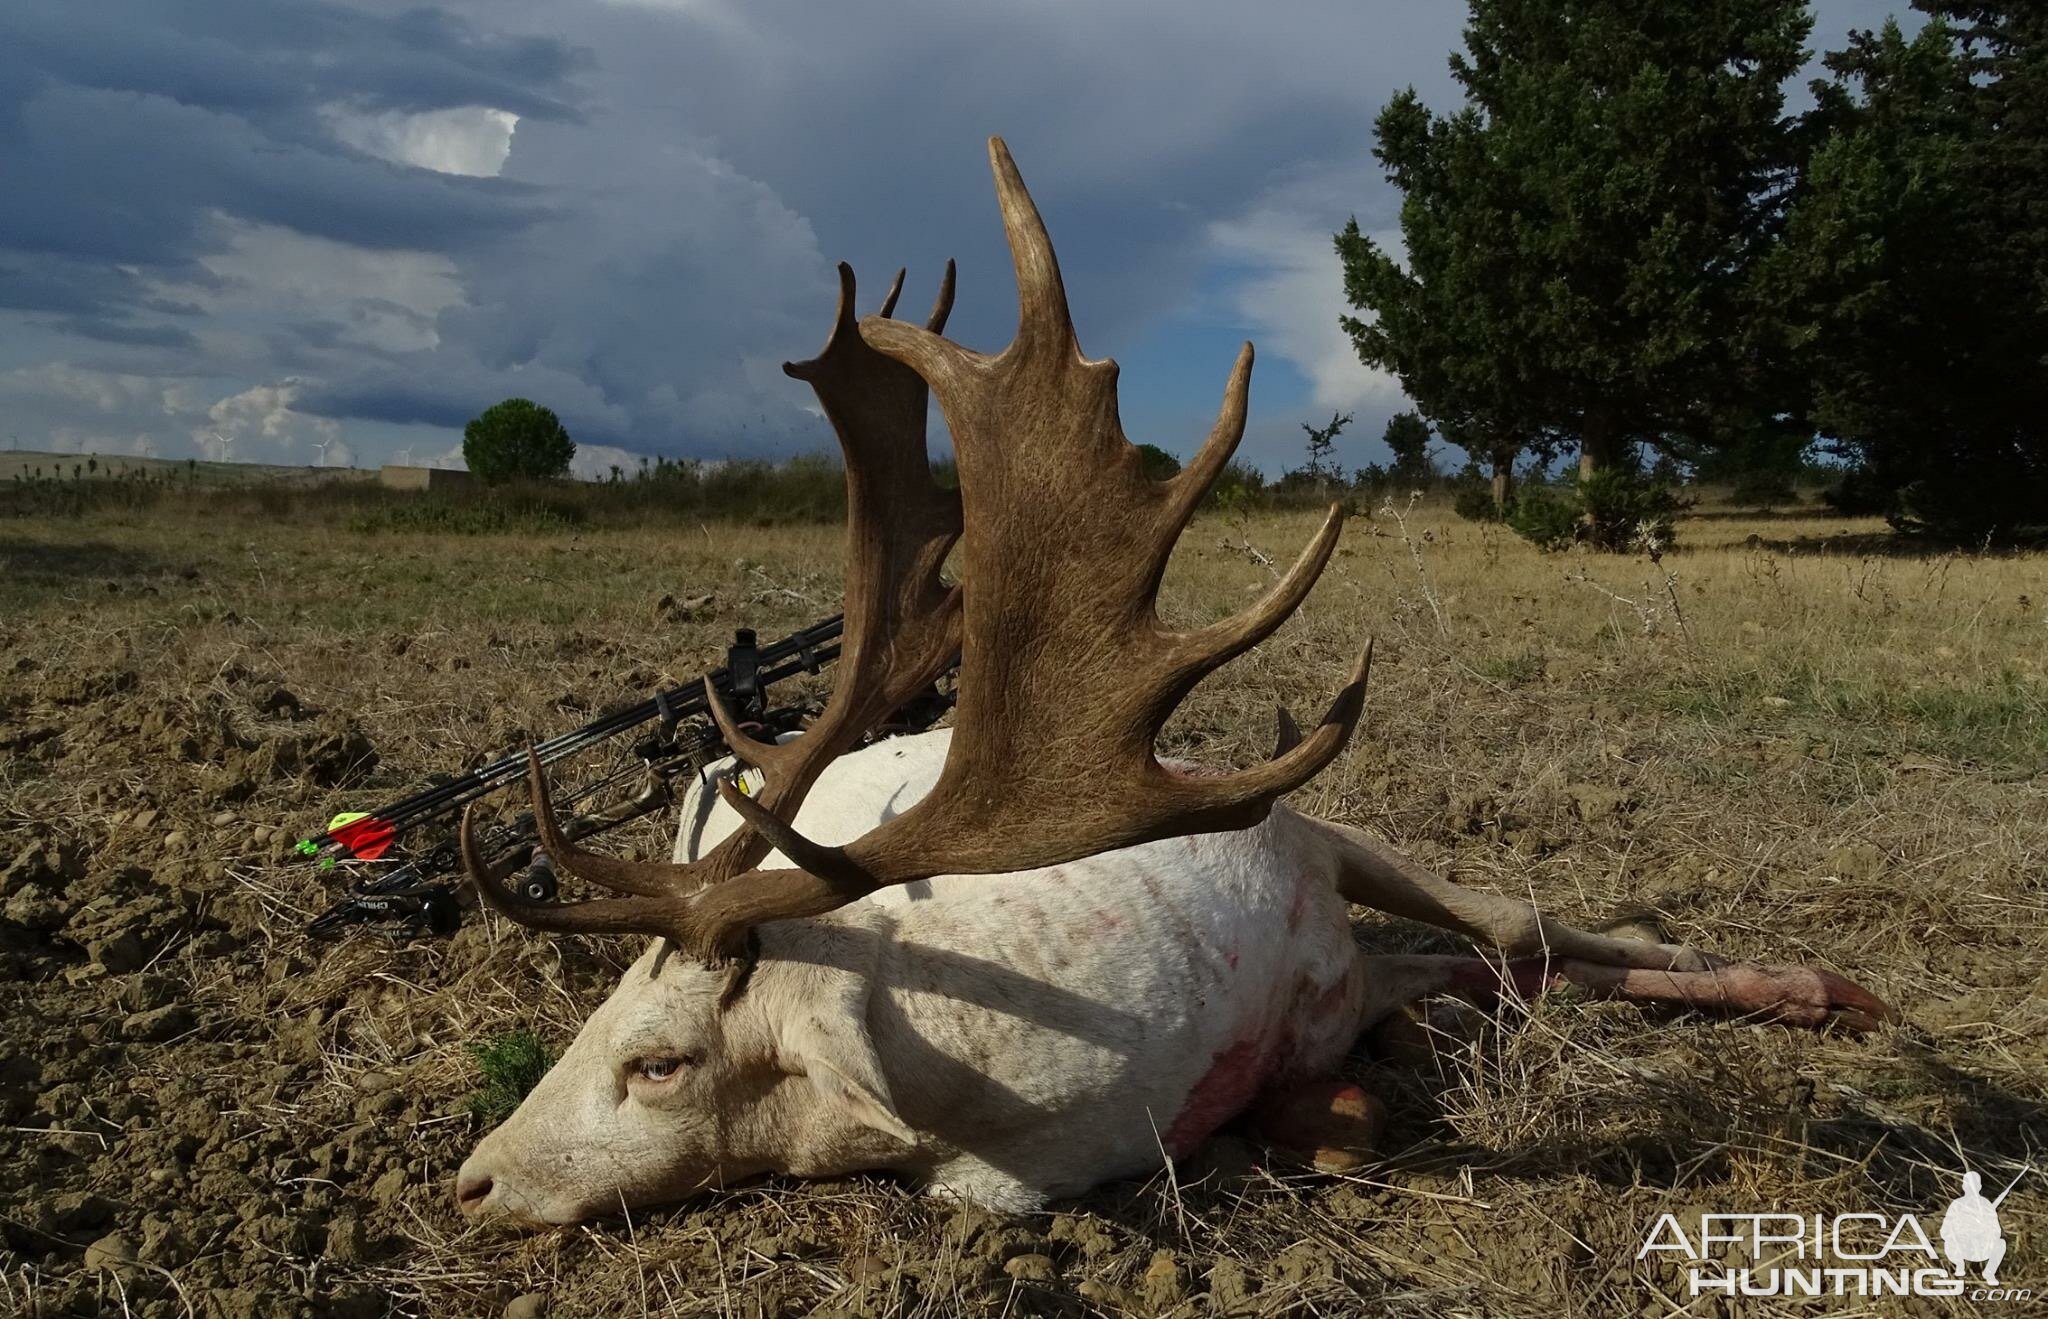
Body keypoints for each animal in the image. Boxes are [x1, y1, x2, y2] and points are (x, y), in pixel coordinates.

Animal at [452, 136, 1884, 1228]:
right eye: (595, 1016)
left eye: (656, 1060)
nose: (472, 1178)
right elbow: (1436, 1013)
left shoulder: (1298, 828)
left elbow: (1531, 927)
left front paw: (1812, 988)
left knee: (1518, 925)